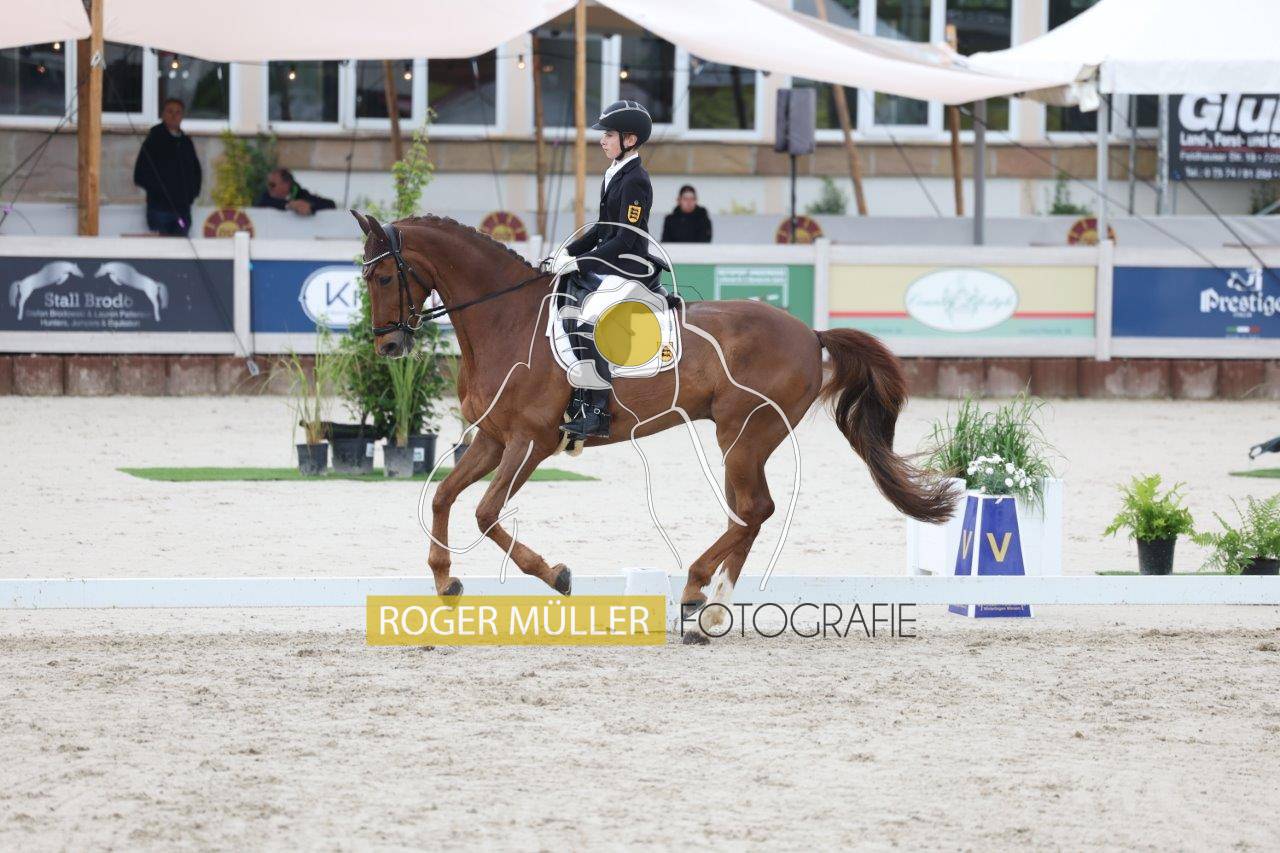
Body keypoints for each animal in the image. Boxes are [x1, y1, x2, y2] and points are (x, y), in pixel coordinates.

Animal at [351, 211, 954, 642]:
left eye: (382, 275)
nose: (389, 345)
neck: (506, 321)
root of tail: (810, 333)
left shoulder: (531, 442)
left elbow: (484, 512)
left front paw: (555, 574)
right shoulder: (494, 438)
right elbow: (443, 497)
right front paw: (444, 578)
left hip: (744, 434)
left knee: (754, 509)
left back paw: (696, 593)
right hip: (742, 440)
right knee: (746, 514)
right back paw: (710, 612)